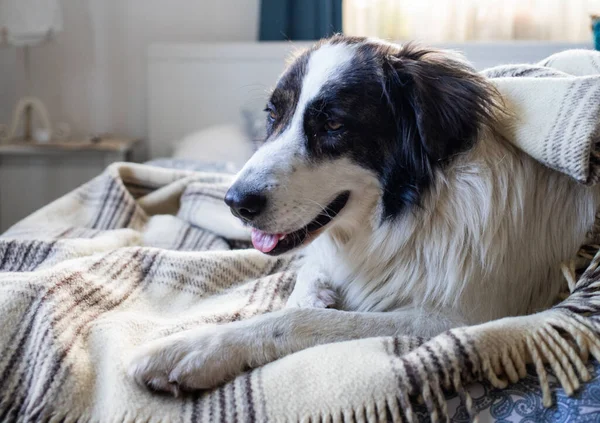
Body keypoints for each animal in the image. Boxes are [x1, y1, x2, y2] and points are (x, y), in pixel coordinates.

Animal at [127, 34, 600, 396]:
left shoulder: (459, 320)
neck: (414, 211)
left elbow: (299, 320)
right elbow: (309, 281)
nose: (235, 202)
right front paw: (313, 290)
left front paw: (196, 349)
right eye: (273, 116)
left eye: (334, 125)